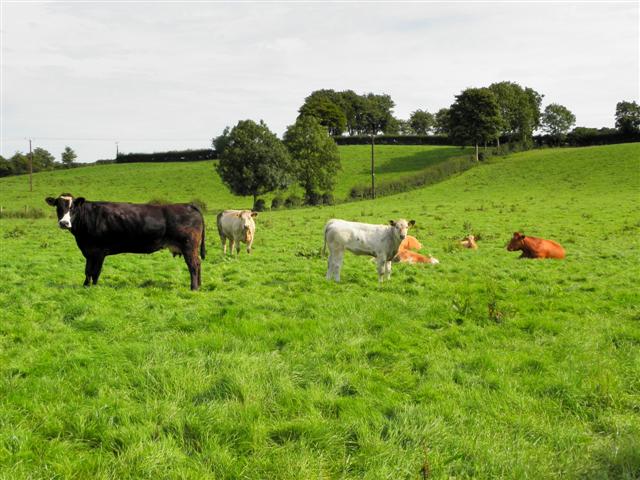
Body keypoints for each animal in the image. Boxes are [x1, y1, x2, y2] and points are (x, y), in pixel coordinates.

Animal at [46, 193, 206, 290]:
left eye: (73, 208)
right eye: (58, 207)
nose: (64, 223)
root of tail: (189, 205)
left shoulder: (99, 252)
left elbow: (95, 271)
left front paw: (94, 287)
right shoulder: (89, 251)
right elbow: (88, 271)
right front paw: (85, 286)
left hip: (188, 246)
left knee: (193, 265)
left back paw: (194, 287)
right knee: (198, 263)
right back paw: (199, 285)